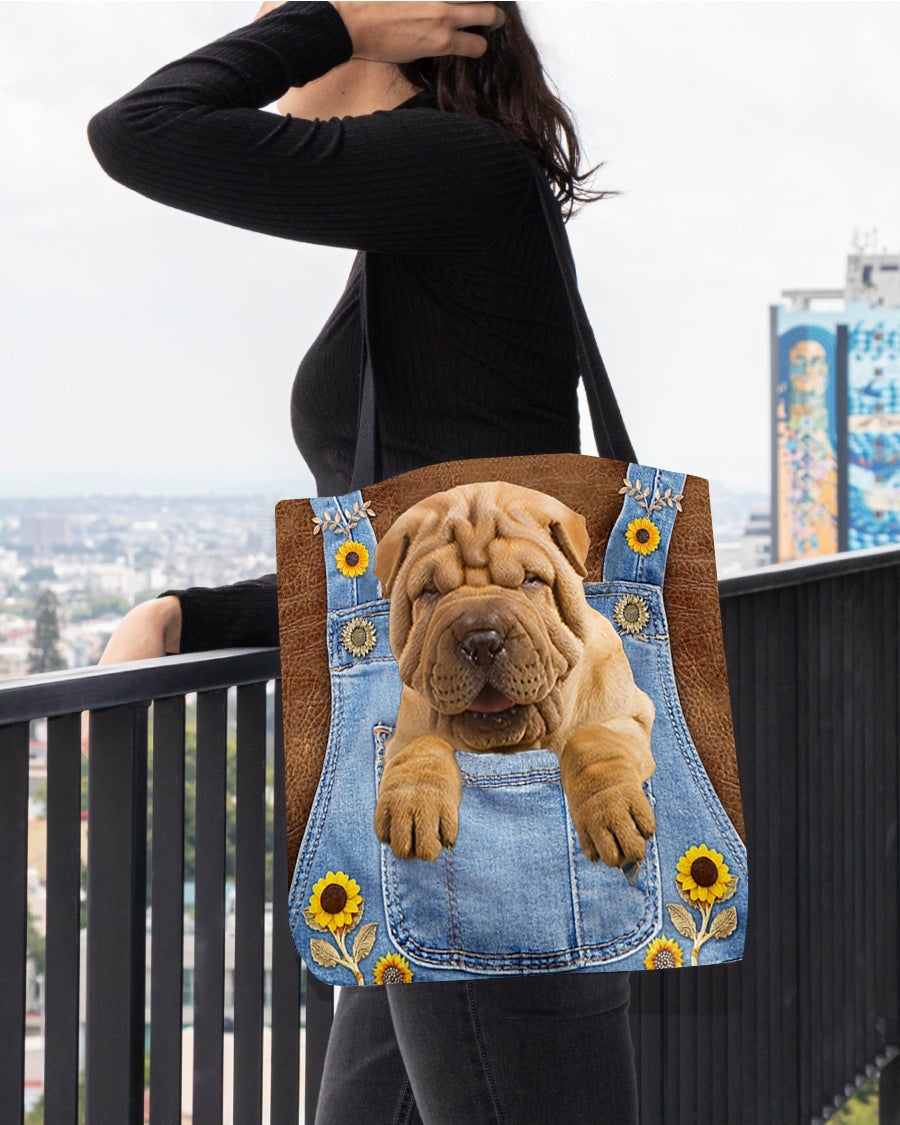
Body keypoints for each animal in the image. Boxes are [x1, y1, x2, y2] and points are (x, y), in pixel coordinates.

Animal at [369, 479, 657, 873]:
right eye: (431, 592)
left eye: (530, 580)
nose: (482, 640)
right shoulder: (407, 732)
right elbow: (423, 746)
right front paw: (412, 807)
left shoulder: (627, 714)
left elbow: (591, 742)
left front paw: (612, 814)